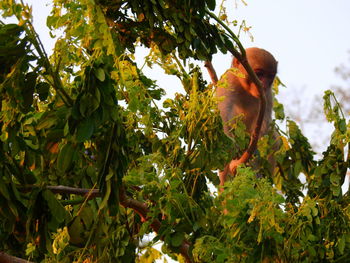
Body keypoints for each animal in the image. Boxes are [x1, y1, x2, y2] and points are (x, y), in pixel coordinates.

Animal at [216, 47, 278, 186]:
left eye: (269, 76)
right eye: (259, 74)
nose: (263, 84)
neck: (244, 87)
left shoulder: (267, 94)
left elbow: (265, 120)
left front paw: (254, 151)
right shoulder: (228, 80)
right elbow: (223, 115)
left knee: (275, 138)